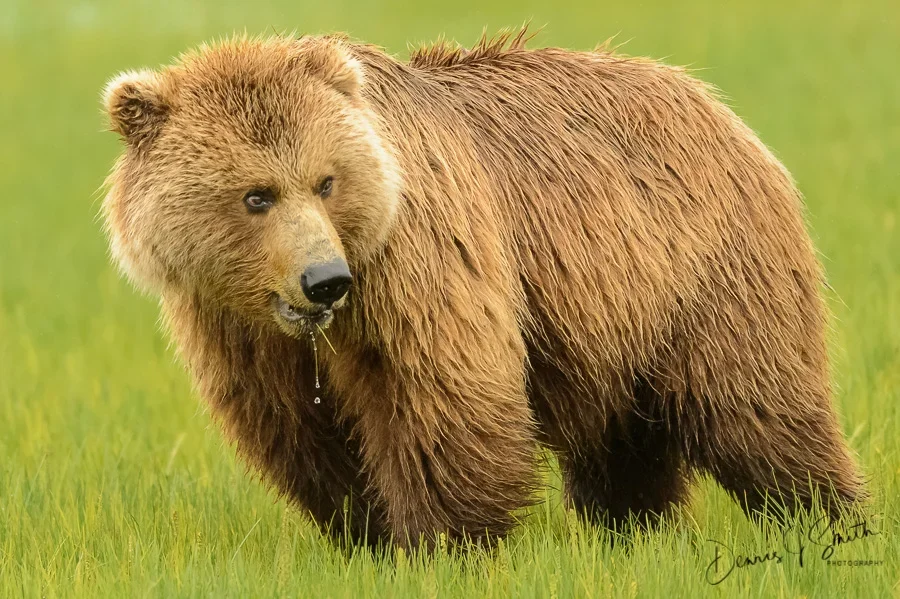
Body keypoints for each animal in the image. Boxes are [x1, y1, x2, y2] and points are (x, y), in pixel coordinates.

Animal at [101, 29, 865, 548]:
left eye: (325, 180)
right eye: (256, 195)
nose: (325, 281)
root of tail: (718, 106)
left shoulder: (417, 259)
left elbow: (441, 390)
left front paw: (443, 540)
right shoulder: (236, 325)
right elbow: (298, 425)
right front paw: (364, 530)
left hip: (708, 273)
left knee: (758, 408)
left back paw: (829, 518)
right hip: (617, 322)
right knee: (624, 441)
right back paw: (633, 529)